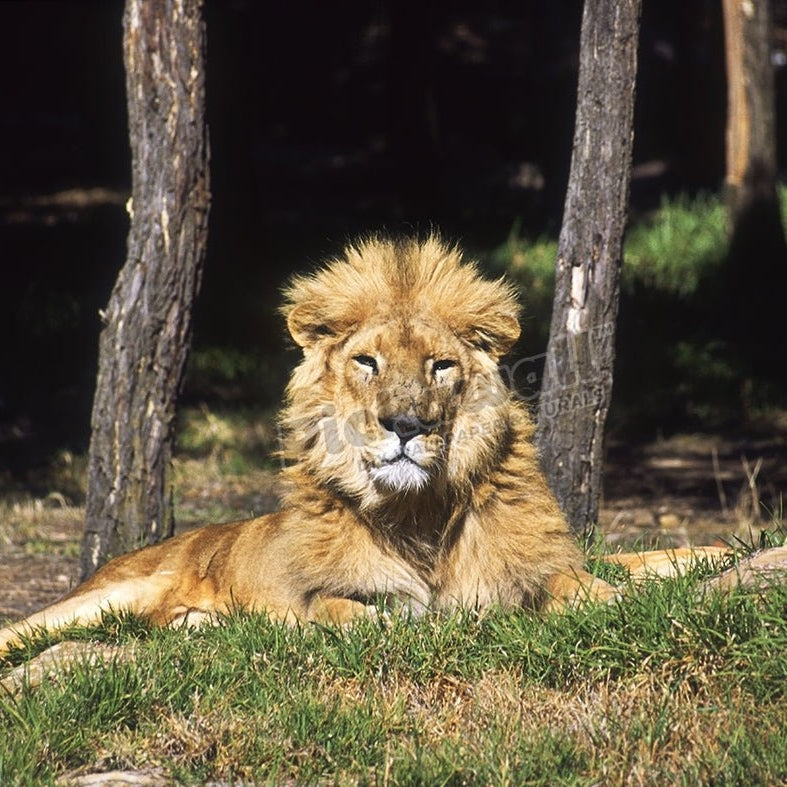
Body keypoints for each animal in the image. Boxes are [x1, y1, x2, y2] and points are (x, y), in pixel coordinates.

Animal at [0, 235, 727, 658]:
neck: (420, 513)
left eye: (439, 366)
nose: (404, 424)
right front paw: (401, 623)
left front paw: (693, 566)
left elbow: (606, 576)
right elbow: (342, 608)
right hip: (99, 599)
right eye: (367, 362)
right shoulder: (318, 596)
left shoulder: (541, 565)